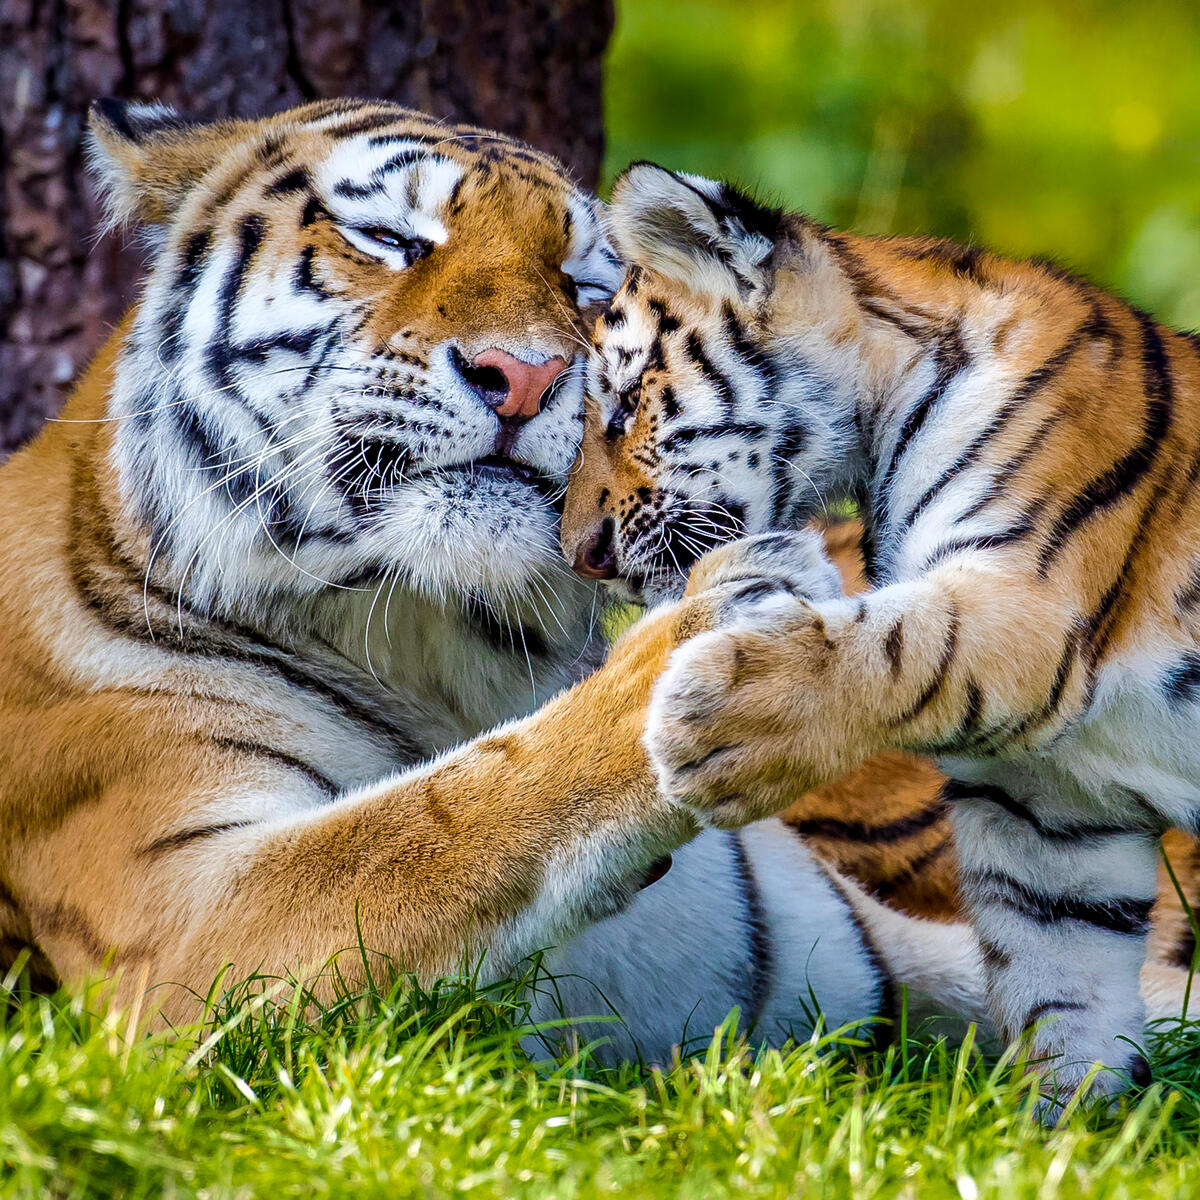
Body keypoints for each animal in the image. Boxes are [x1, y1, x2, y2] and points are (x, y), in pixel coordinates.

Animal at [0, 96, 1002, 1047]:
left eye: (586, 285)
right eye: (391, 241)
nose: (524, 375)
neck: (438, 648)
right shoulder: (178, 924)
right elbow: (429, 822)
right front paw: (715, 631)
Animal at [561, 160, 1200, 1104]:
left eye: (624, 404)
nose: (583, 556)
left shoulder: (1027, 607)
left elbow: (894, 645)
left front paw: (710, 727)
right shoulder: (1047, 810)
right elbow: (1061, 986)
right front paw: (1064, 1124)